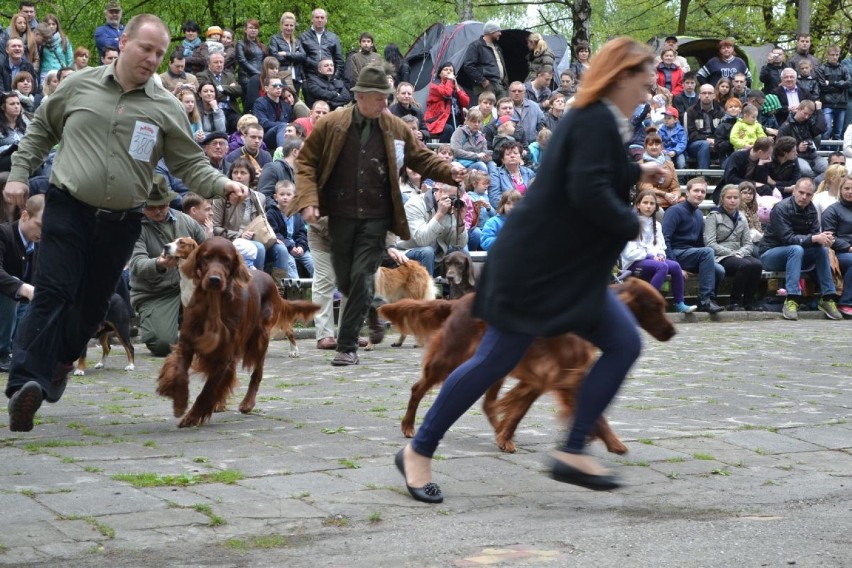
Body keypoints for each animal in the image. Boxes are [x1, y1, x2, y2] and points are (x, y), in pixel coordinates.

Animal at [157, 235, 320, 426]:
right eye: (205, 257)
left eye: (226, 259)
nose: (166, 247)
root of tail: (270, 279)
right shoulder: (188, 340)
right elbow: (181, 372)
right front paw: (180, 402)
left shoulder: (224, 352)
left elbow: (208, 389)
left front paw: (192, 416)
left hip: (260, 339)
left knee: (258, 371)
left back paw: (248, 402)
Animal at [376, 278, 676, 454]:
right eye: (655, 307)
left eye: (663, 305)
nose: (672, 332)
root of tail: (456, 301)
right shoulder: (562, 377)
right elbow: (596, 414)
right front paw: (613, 444)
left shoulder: (541, 378)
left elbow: (517, 412)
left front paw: (505, 436)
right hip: (453, 357)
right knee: (418, 387)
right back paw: (408, 426)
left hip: (494, 364)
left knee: (487, 403)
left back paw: (497, 431)